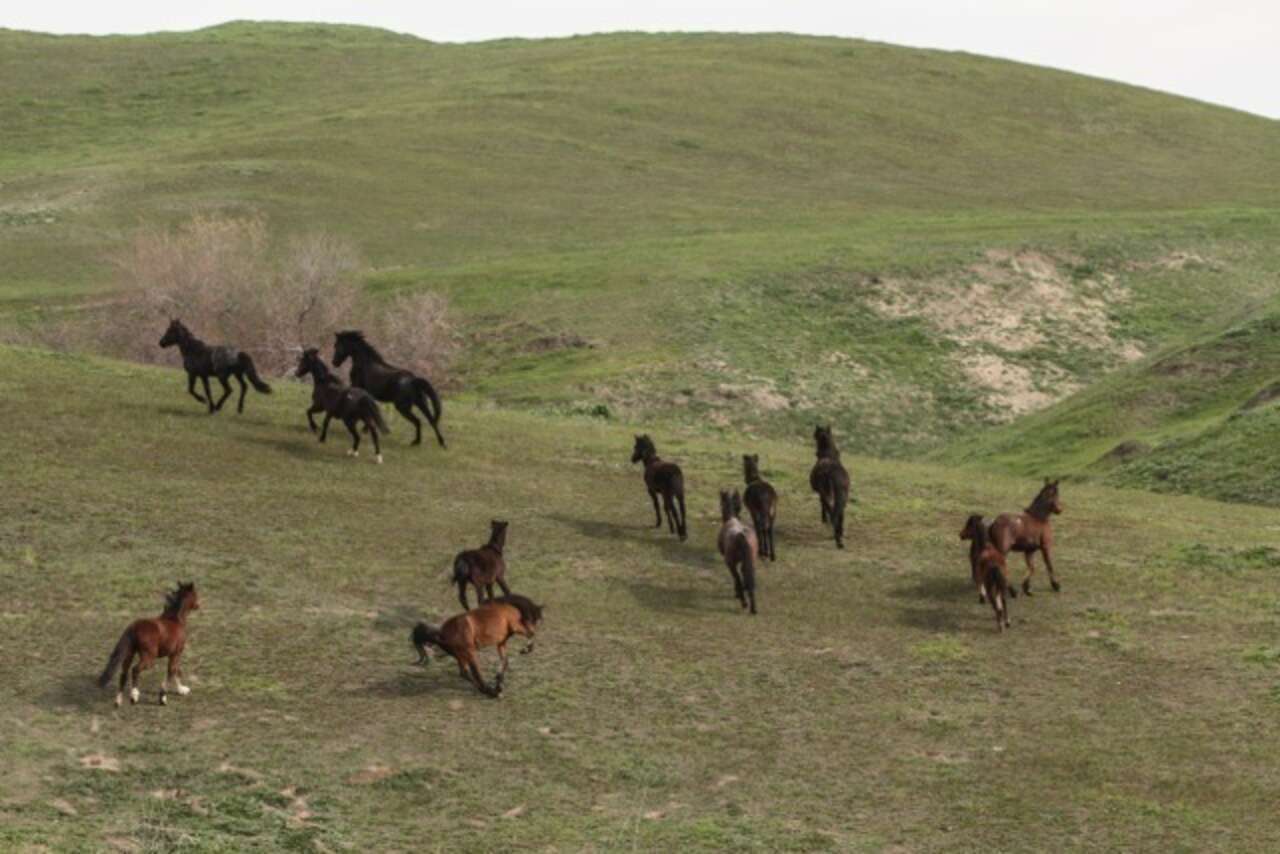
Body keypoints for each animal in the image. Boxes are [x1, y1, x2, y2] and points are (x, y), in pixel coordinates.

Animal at [409, 599, 545, 696]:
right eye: (537, 617)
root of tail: (442, 633)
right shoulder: (515, 626)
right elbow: (531, 634)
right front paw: (525, 650)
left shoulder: (501, 643)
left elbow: (505, 661)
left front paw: (499, 682)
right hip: (470, 652)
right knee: (475, 672)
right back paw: (491, 692)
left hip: (461, 655)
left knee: (465, 673)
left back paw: (489, 690)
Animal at [716, 486, 752, 614]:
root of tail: (740, 537)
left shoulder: (732, 563)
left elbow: (737, 579)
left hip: (731, 563)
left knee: (737, 578)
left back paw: (743, 601)